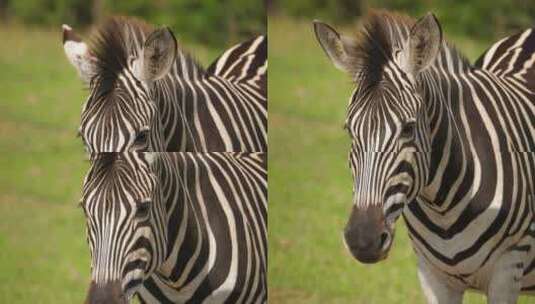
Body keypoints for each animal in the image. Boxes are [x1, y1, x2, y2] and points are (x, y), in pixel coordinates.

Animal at [314, 10, 535, 302]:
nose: (363, 240)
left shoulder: (508, 268)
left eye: (408, 129)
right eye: (349, 129)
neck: (444, 207)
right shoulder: (432, 276)